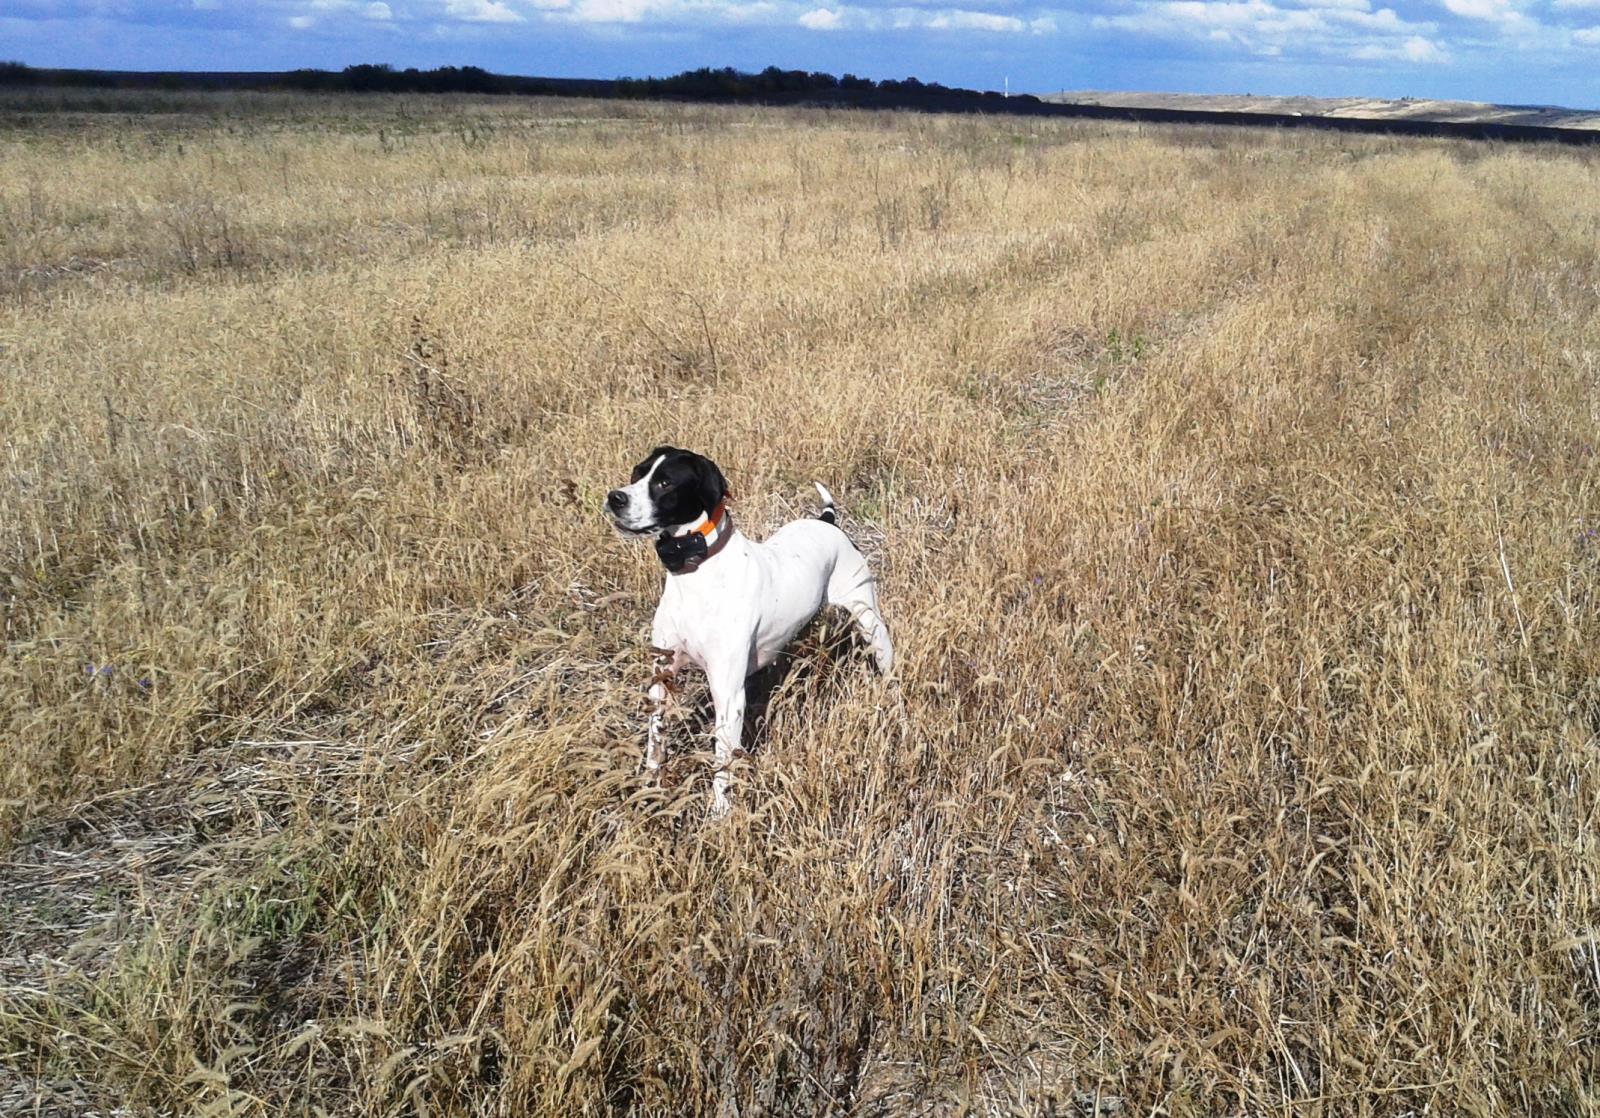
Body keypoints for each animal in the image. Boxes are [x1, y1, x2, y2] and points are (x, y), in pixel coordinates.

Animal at [606, 446, 893, 815]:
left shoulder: (728, 694)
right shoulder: (663, 676)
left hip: (870, 621)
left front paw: (719, 814)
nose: (615, 497)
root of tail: (827, 521)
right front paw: (650, 788)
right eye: (637, 473)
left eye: (665, 482)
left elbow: (721, 761)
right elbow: (656, 741)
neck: (696, 572)